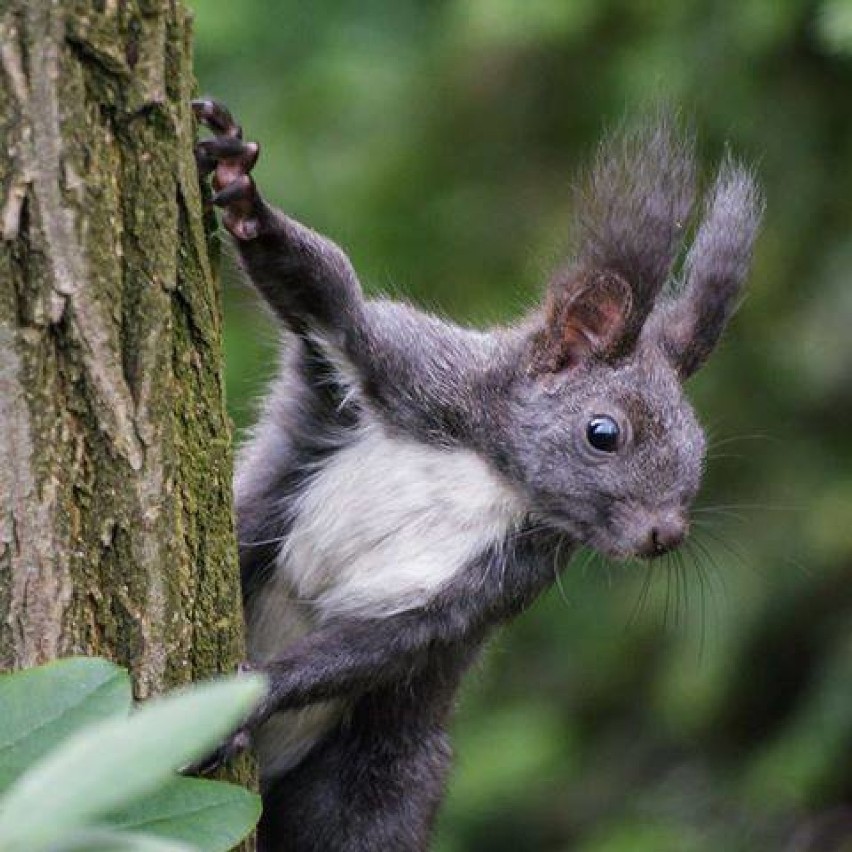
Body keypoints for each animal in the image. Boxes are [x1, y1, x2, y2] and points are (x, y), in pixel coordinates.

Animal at [195, 101, 764, 852]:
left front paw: (247, 695)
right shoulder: (400, 367)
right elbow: (329, 295)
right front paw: (242, 192)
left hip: (376, 788)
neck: (494, 471)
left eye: (699, 451)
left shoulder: (506, 576)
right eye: (603, 433)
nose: (665, 534)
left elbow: (396, 640)